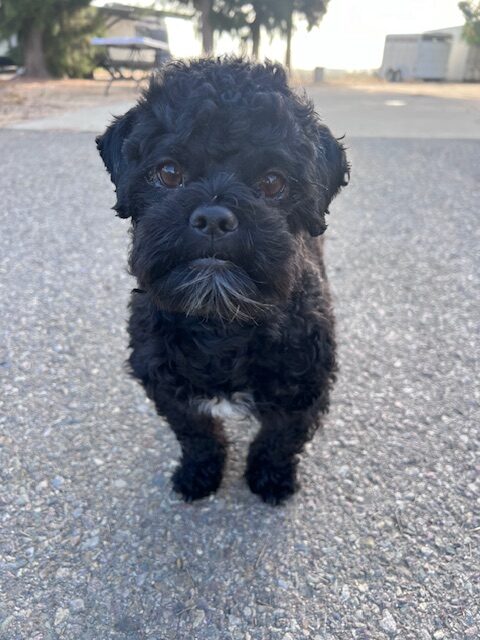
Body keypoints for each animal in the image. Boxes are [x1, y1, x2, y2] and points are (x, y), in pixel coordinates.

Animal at [95, 57, 348, 502]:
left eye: (273, 182)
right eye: (169, 172)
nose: (214, 217)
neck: (221, 323)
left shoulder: (305, 390)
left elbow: (279, 439)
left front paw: (270, 478)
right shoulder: (168, 387)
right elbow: (199, 435)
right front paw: (200, 473)